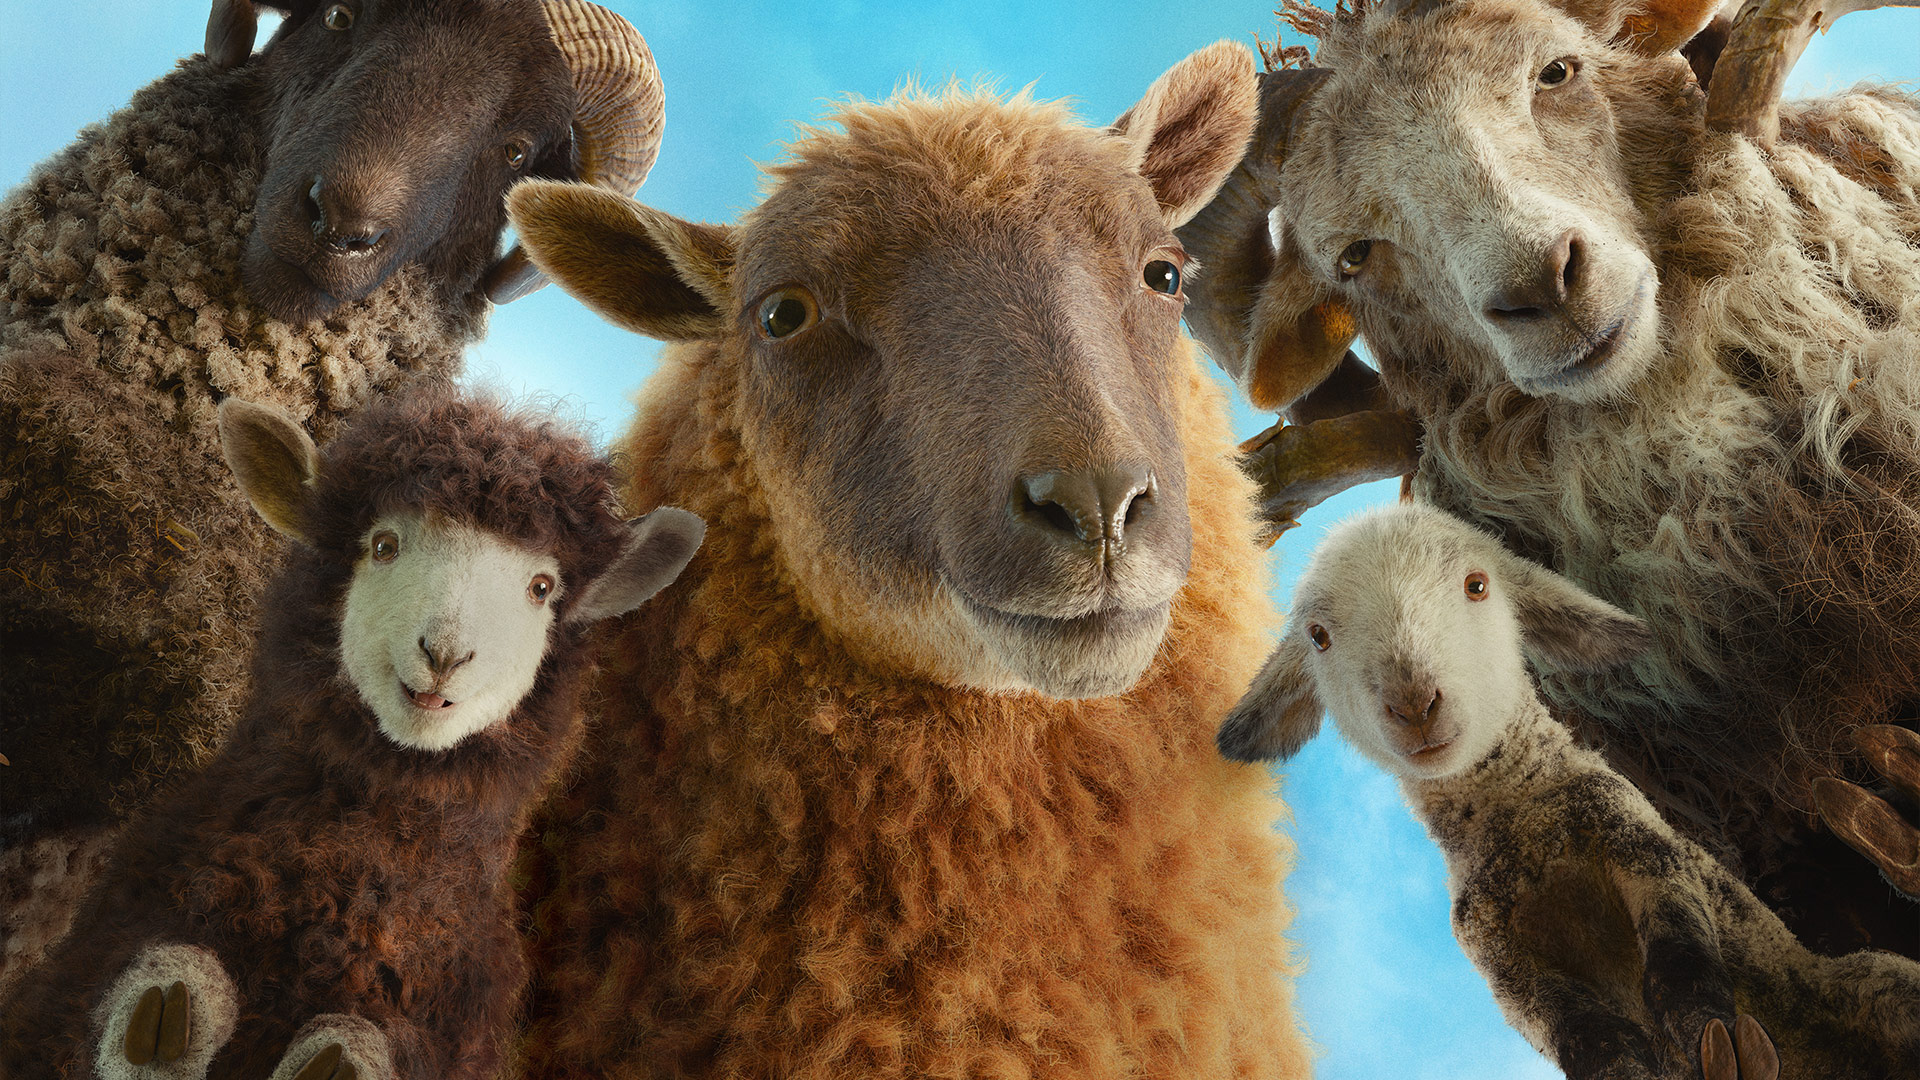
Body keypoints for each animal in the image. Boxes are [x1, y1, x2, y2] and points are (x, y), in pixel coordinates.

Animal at [0, 388, 705, 1080]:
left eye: (541, 587)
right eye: (383, 545)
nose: (445, 654)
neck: (339, 878)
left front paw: (339, 1054)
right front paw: (168, 1012)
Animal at [1220, 502, 1920, 1080]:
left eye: (1477, 585)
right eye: (1319, 636)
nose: (1414, 703)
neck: (1524, 819)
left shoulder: (1639, 840)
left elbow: (1680, 962)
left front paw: (1712, 1040)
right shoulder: (1498, 958)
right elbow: (1581, 1035)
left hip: (1870, 984)